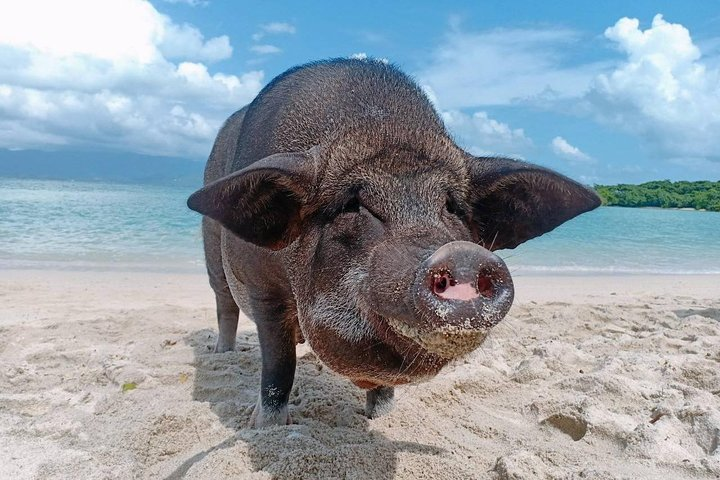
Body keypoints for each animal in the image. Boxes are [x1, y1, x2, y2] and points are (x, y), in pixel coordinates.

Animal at [187, 58, 600, 427]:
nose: (462, 254)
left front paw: (382, 418)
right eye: (353, 204)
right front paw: (266, 427)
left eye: (452, 206)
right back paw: (221, 353)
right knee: (224, 305)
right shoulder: (263, 288)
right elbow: (278, 365)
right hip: (212, 254)